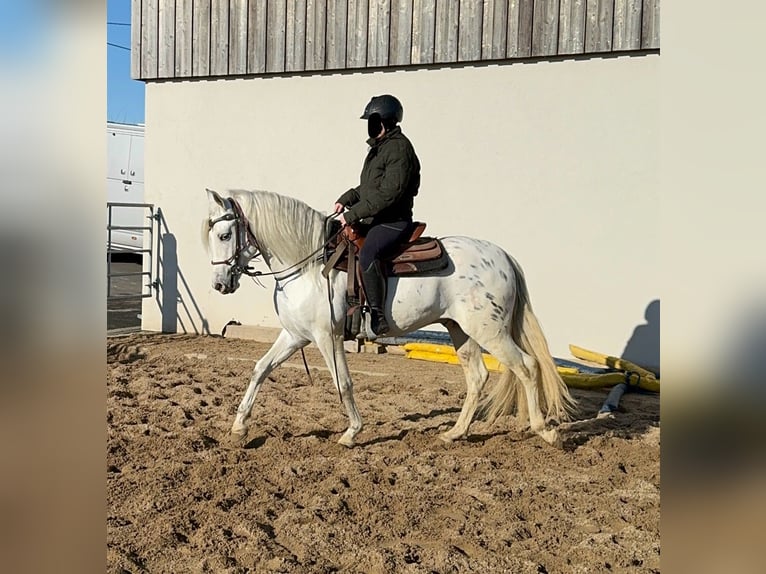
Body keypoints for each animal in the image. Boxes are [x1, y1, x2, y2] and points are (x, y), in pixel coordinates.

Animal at [204, 189, 576, 450]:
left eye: (224, 235)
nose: (219, 284)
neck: (310, 265)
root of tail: (503, 256)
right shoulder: (295, 335)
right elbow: (260, 369)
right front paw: (239, 428)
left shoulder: (327, 337)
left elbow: (343, 383)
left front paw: (352, 432)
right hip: (461, 330)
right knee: (478, 377)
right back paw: (454, 433)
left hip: (490, 331)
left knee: (527, 366)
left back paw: (545, 431)